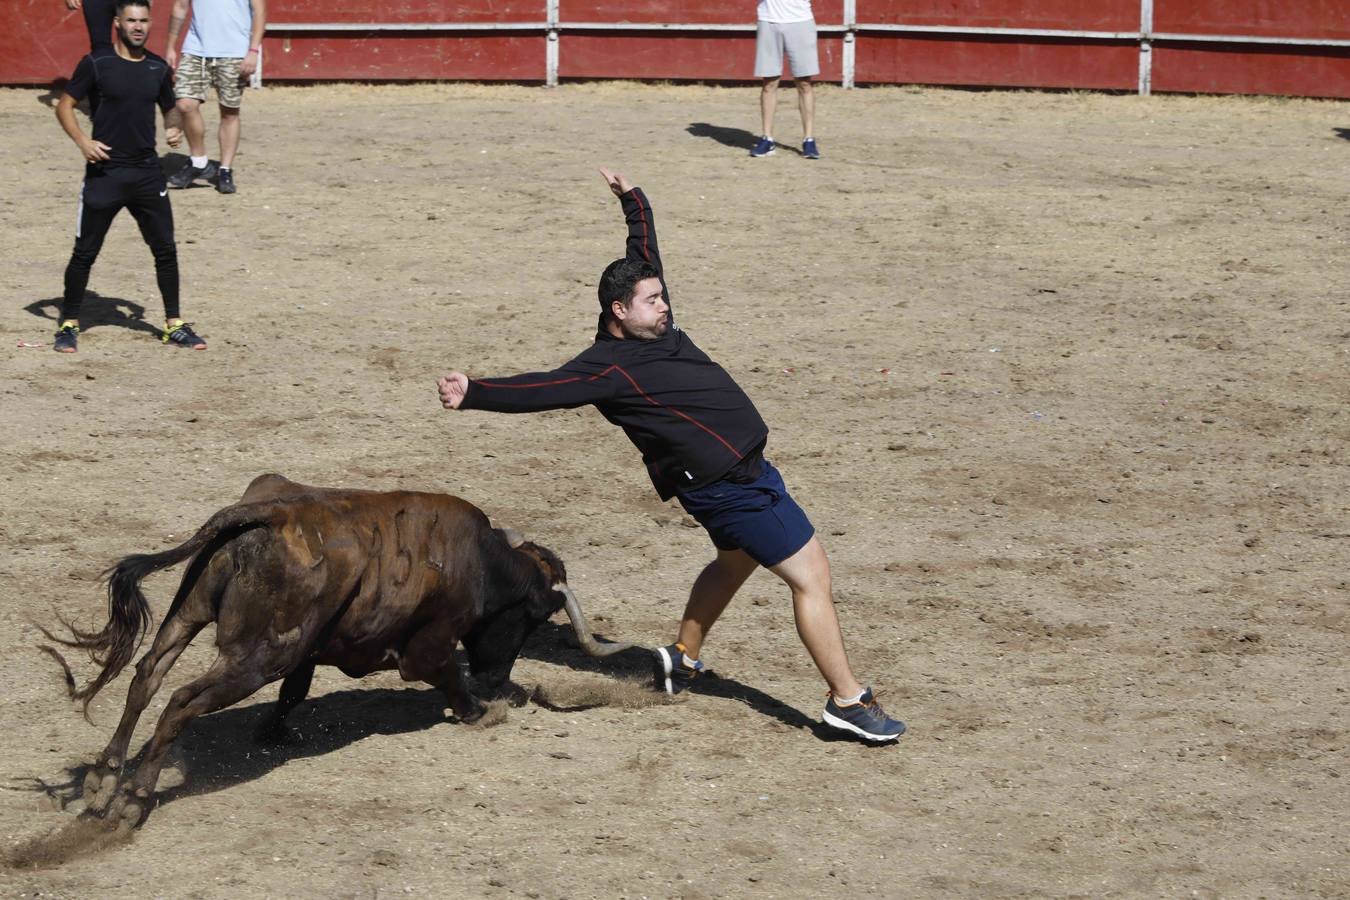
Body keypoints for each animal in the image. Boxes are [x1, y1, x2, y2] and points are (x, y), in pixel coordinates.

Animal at [42, 474, 631, 825]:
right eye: (534, 617)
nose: (498, 680)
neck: (482, 562)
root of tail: (266, 513)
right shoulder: (429, 644)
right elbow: (446, 676)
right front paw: (480, 711)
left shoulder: (310, 650)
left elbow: (295, 692)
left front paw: (275, 732)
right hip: (256, 656)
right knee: (181, 700)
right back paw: (133, 800)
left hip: (189, 613)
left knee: (147, 674)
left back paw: (103, 779)